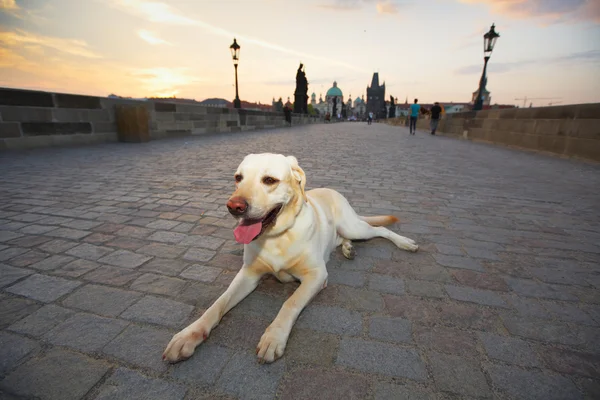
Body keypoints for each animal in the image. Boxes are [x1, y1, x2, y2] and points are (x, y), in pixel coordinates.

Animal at [163, 154, 418, 366]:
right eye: (238, 178)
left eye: (269, 180)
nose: (234, 207)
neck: (277, 237)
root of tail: (332, 190)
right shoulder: (248, 274)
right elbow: (218, 303)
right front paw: (189, 334)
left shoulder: (317, 275)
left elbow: (290, 303)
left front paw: (273, 337)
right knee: (343, 238)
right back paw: (348, 248)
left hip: (354, 226)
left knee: (380, 230)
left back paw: (405, 242)